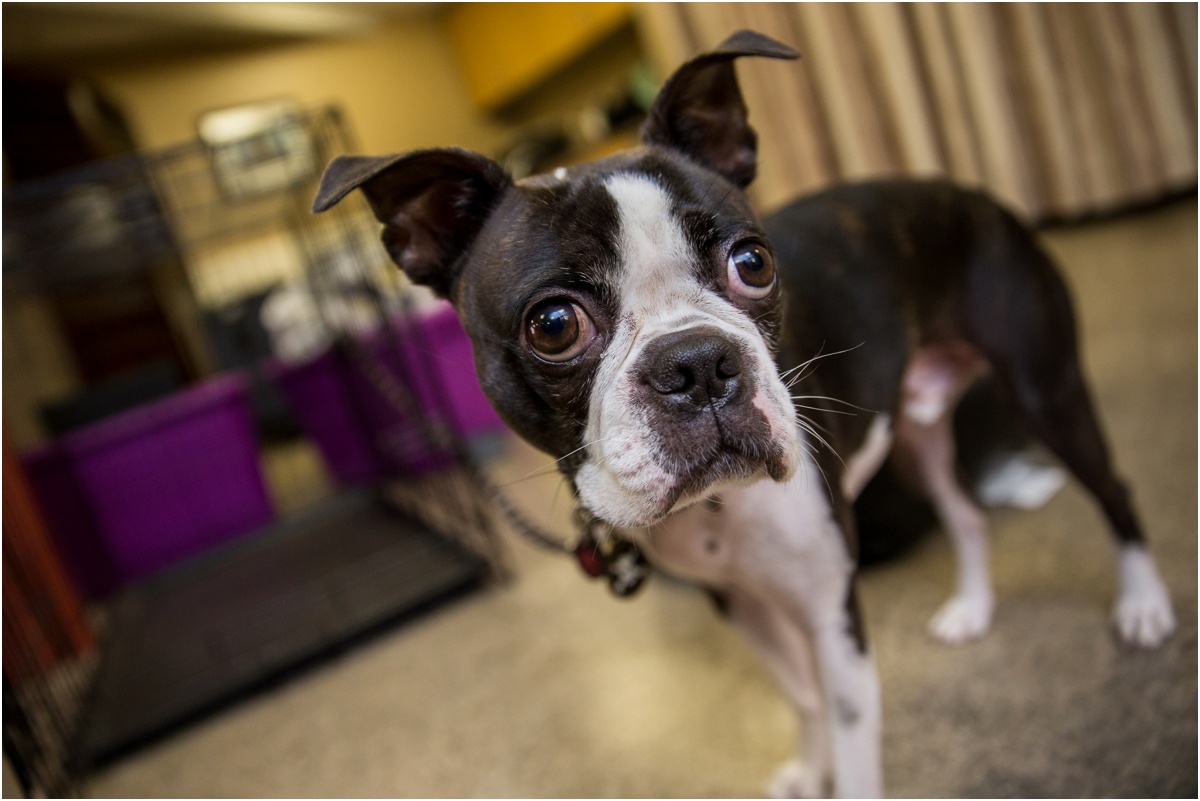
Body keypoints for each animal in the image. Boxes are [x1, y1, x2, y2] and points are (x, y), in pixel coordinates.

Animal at [314, 29, 1176, 796]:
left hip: (1045, 390)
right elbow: (801, 696)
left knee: (1115, 491)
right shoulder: (739, 602)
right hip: (913, 430)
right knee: (963, 508)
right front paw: (807, 768)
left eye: (752, 262)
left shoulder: (832, 611)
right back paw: (971, 608)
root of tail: (971, 193)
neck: (718, 508)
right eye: (553, 324)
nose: (697, 362)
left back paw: (1142, 606)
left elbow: (850, 729)